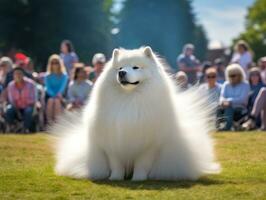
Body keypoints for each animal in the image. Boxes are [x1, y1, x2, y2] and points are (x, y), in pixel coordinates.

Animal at [53, 46, 219, 181]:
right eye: (120, 67)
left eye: (135, 67)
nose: (122, 72)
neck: (129, 99)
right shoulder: (112, 143)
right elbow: (116, 164)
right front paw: (115, 178)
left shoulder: (148, 146)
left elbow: (141, 164)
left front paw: (138, 178)